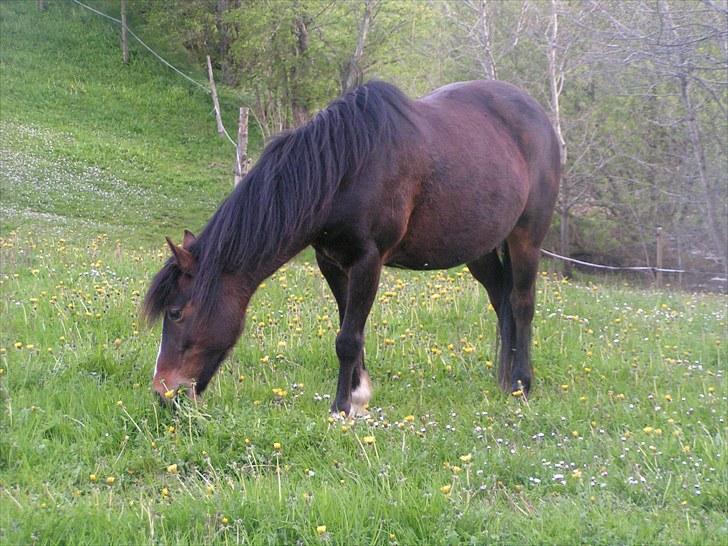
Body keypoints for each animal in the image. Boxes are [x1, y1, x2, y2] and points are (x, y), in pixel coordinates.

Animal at [144, 80, 560, 415]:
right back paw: (504, 380)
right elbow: (349, 327)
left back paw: (521, 383)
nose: (163, 394)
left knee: (522, 303)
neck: (345, 170)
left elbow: (347, 338)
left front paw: (342, 406)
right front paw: (359, 393)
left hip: (526, 237)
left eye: (176, 313)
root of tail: (540, 117)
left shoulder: (367, 261)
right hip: (480, 249)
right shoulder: (331, 262)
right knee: (501, 299)